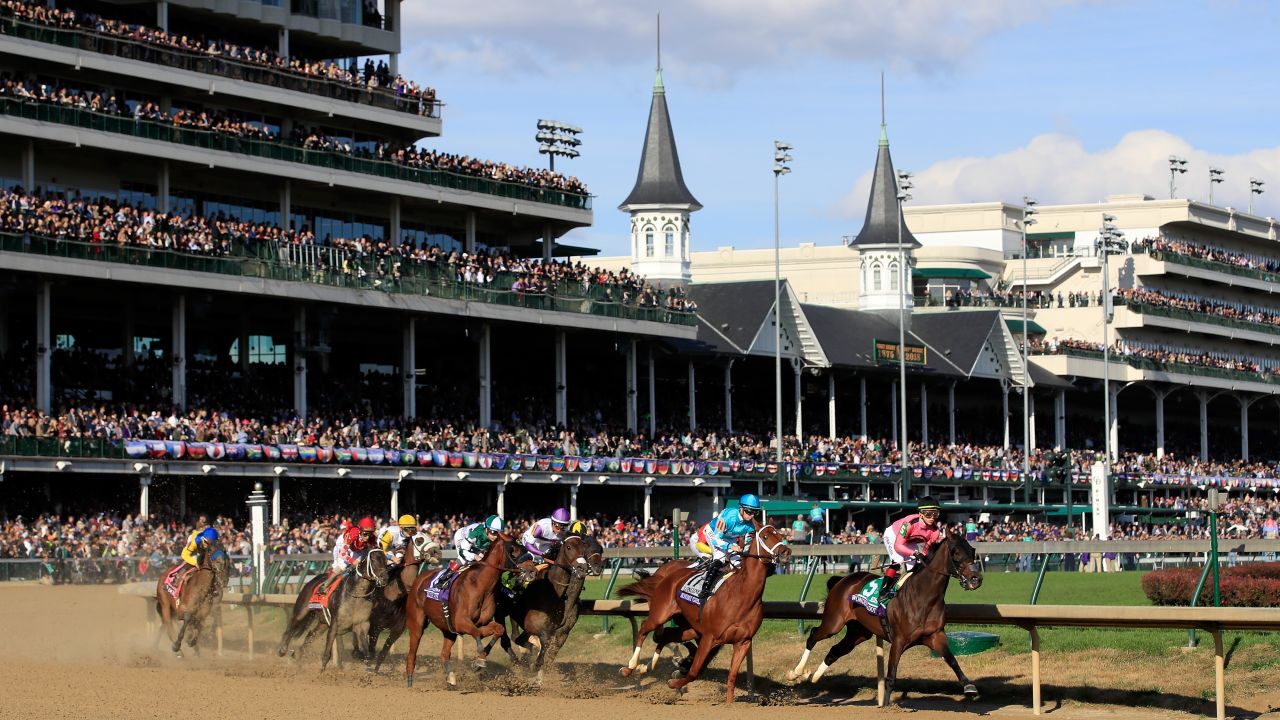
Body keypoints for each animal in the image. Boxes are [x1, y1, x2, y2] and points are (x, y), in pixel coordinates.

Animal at [404, 530, 514, 686]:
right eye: (514, 550)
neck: (480, 585)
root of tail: (418, 579)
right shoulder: (461, 622)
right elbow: (477, 633)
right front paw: (479, 660)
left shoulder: (478, 623)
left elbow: (497, 629)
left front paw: (479, 660)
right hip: (416, 625)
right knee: (412, 653)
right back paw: (409, 681)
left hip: (447, 628)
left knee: (444, 654)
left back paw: (451, 678)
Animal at [481, 527, 604, 671]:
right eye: (568, 547)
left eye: (600, 548)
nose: (585, 567)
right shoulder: (534, 626)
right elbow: (540, 642)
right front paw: (533, 662)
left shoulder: (561, 632)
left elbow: (548, 651)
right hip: (500, 612)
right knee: (507, 639)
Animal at [611, 520, 783, 702]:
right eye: (765, 536)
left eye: (780, 535)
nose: (785, 552)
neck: (742, 595)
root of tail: (667, 576)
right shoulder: (709, 637)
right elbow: (695, 671)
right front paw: (675, 680)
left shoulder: (743, 642)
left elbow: (730, 677)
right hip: (661, 614)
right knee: (645, 627)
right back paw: (629, 667)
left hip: (689, 627)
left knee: (665, 635)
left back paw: (648, 666)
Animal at [783, 525, 983, 702]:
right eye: (955, 552)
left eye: (972, 550)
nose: (976, 579)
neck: (924, 597)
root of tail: (842, 580)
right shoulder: (898, 640)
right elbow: (891, 675)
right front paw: (886, 704)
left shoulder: (936, 636)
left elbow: (952, 660)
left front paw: (969, 687)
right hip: (833, 623)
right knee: (813, 636)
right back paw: (796, 672)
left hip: (859, 632)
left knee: (835, 650)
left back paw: (815, 676)